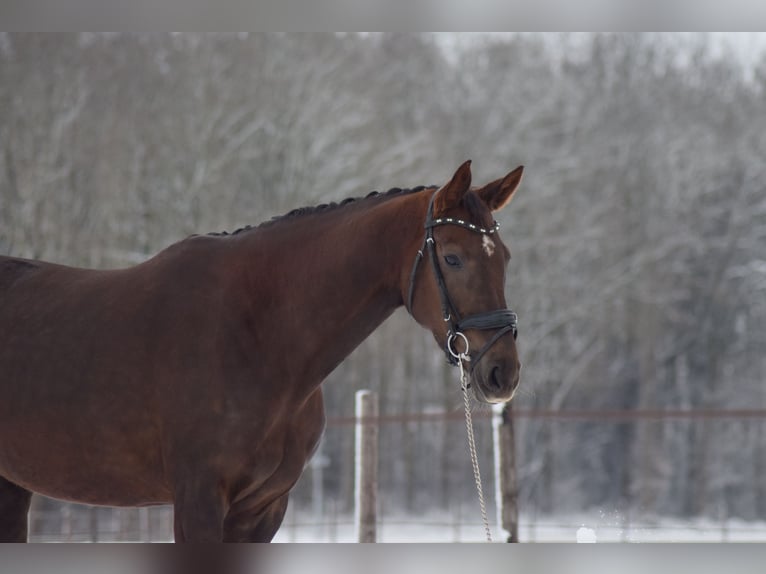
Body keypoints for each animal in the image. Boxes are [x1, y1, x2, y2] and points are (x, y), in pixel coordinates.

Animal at [0, 160, 523, 542]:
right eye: (453, 258)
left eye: (505, 257)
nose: (504, 372)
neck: (256, 334)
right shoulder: (198, 503)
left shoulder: (263, 510)